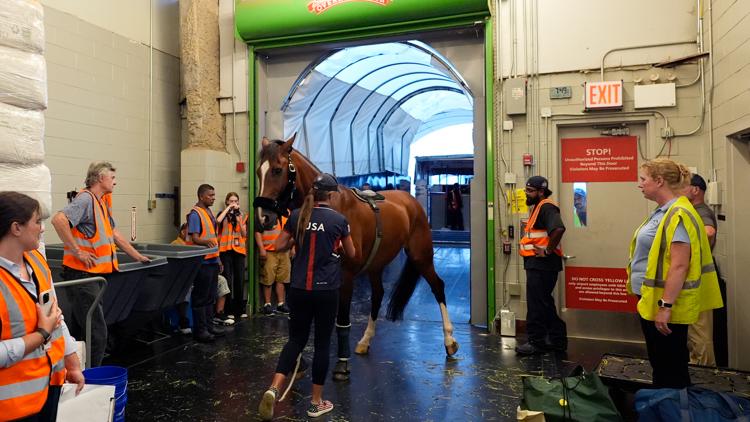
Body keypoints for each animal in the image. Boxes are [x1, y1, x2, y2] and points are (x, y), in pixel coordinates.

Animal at [256, 136, 462, 382]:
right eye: (258, 171)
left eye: (277, 170)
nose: (263, 218)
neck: (327, 207)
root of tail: (410, 201)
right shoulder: (304, 275)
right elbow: (297, 320)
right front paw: (299, 363)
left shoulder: (345, 278)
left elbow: (342, 321)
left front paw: (341, 365)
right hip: (376, 265)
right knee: (378, 295)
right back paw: (365, 341)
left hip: (421, 257)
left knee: (438, 287)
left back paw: (449, 342)